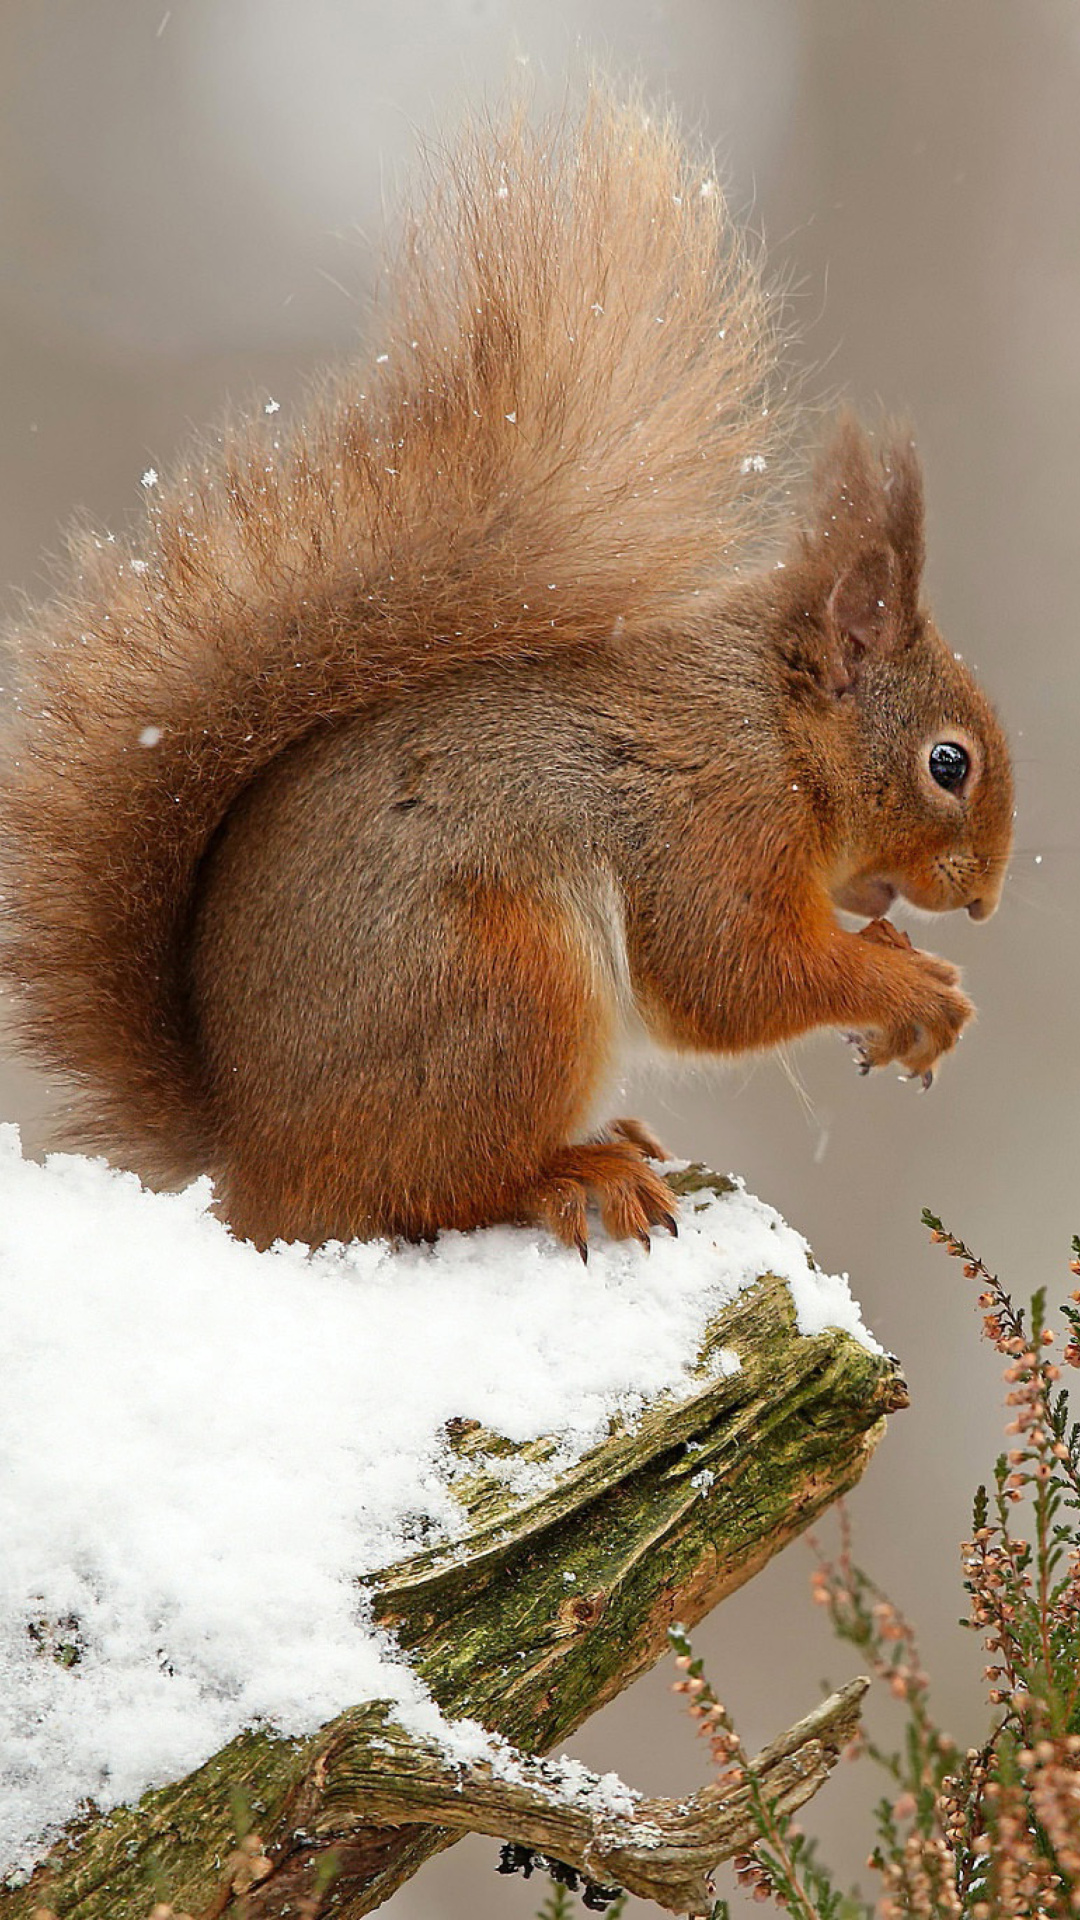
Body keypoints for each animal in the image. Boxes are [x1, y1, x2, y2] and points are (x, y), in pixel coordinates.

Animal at [0, 97, 1006, 1251]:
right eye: (948, 764)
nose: (984, 900)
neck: (774, 730)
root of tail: (255, 1168)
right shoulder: (713, 823)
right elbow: (730, 975)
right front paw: (909, 985)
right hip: (508, 987)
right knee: (432, 1190)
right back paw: (572, 1174)